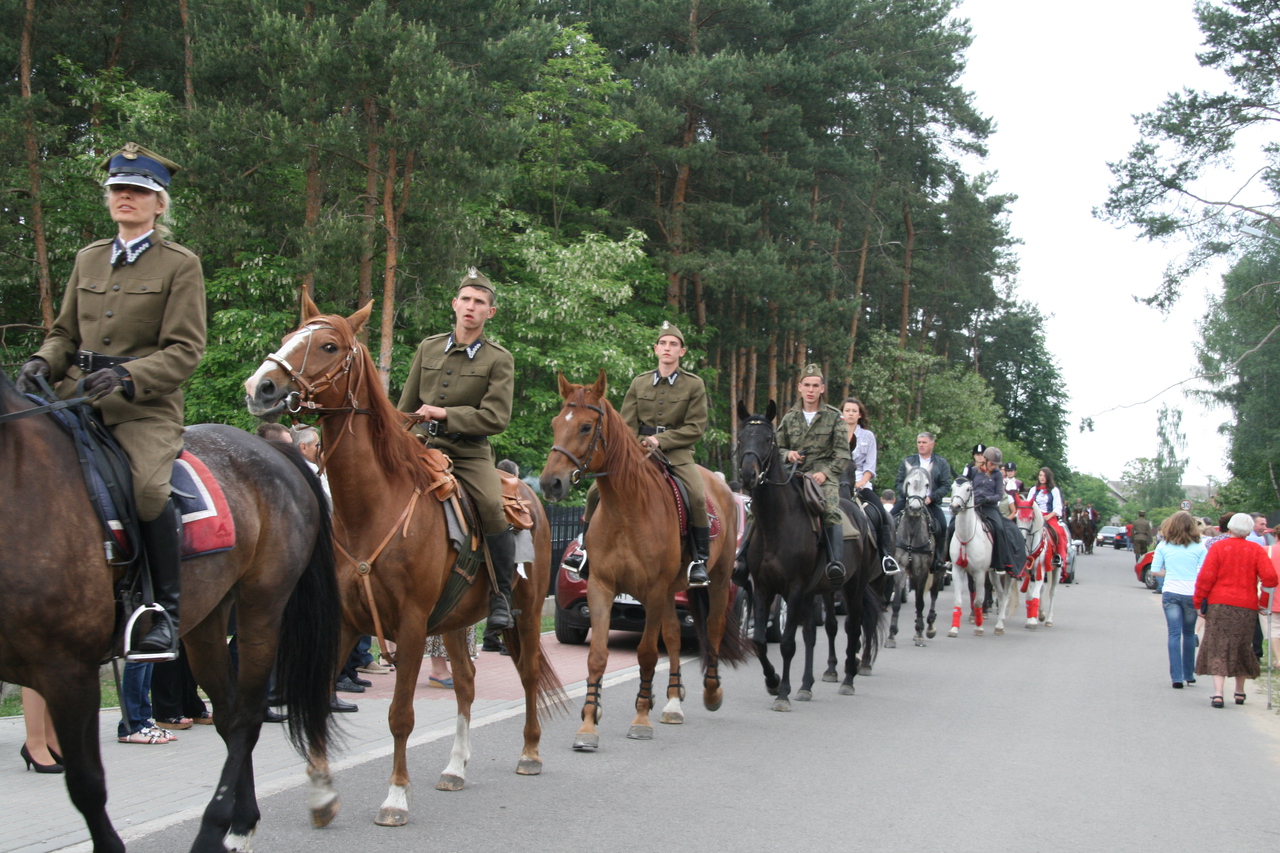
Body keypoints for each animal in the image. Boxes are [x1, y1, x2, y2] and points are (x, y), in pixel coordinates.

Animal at [0, 371, 340, 850]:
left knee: (246, 717)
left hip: (261, 607)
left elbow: (87, 784)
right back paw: (241, 819)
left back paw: (218, 826)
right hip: (208, 619)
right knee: (229, 713)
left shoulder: (68, 672)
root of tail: (274, 452)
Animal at [241, 297, 563, 824]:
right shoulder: (346, 623)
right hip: (455, 621)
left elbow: (400, 716)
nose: (260, 387)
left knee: (530, 673)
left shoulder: (411, 626)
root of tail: (527, 494)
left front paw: (395, 796)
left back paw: (531, 753)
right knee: (466, 684)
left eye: (328, 346)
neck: (371, 508)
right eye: (291, 336)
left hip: (528, 612)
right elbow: (318, 702)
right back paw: (455, 768)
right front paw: (322, 794)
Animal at [537, 368, 747, 747]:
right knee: (676, 635)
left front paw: (640, 719)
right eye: (555, 423)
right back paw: (672, 702)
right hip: (670, 593)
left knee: (713, 628)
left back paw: (710, 692)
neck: (627, 507)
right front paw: (588, 724)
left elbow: (647, 653)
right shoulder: (602, 587)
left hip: (716, 581)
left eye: (586, 427)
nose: (551, 483)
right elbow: (597, 655)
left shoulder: (653, 590)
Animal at [737, 402, 885, 706]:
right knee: (814, 633)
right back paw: (807, 684)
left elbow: (787, 643)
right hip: (818, 591)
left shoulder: (793, 589)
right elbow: (760, 641)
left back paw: (848, 678)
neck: (777, 523)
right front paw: (773, 682)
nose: (747, 475)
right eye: (741, 438)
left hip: (854, 586)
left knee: (853, 626)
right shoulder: (763, 588)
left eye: (767, 439)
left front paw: (782, 693)